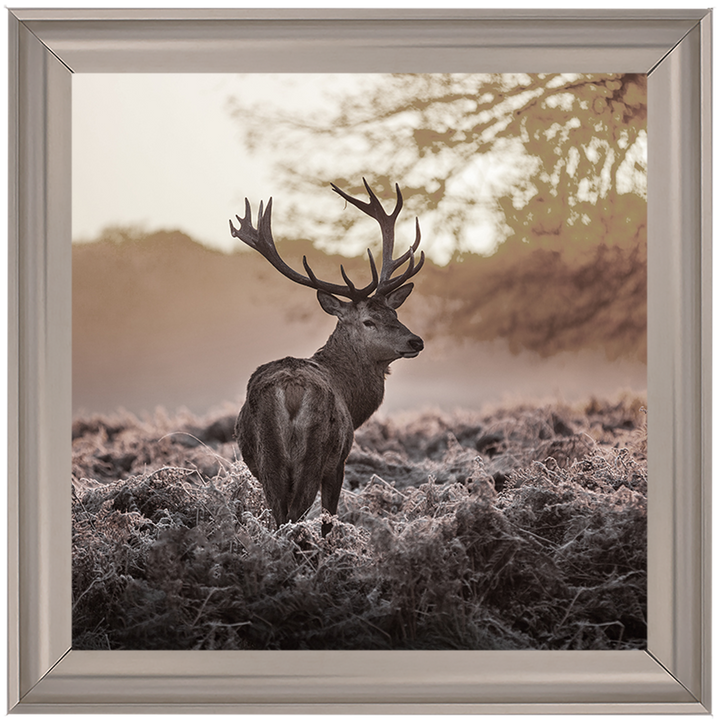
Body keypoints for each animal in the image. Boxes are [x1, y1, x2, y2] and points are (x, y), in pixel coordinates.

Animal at [230, 179, 425, 537]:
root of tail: (290, 390)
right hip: (314, 453)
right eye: (368, 321)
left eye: (394, 313)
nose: (415, 340)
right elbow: (328, 519)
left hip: (268, 459)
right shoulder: (339, 461)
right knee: (295, 514)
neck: (352, 399)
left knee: (279, 515)